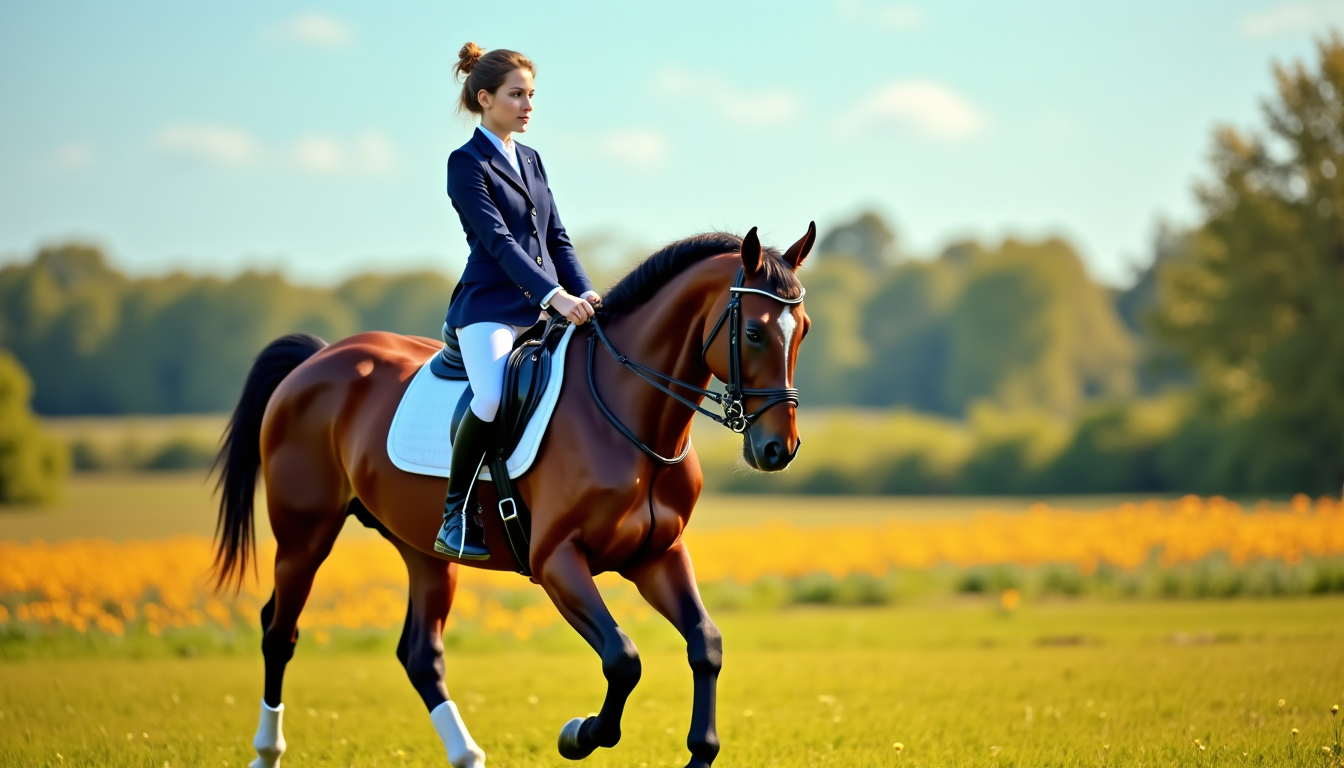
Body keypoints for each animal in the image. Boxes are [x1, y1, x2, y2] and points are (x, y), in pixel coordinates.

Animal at [212, 223, 815, 768]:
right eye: (755, 332)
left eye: (803, 330)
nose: (778, 449)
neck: (631, 420)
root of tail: (317, 360)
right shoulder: (556, 561)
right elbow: (623, 658)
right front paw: (579, 734)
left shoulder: (657, 555)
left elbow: (705, 644)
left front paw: (698, 752)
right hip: (304, 536)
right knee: (279, 632)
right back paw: (267, 752)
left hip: (423, 550)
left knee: (420, 653)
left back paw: (467, 756)